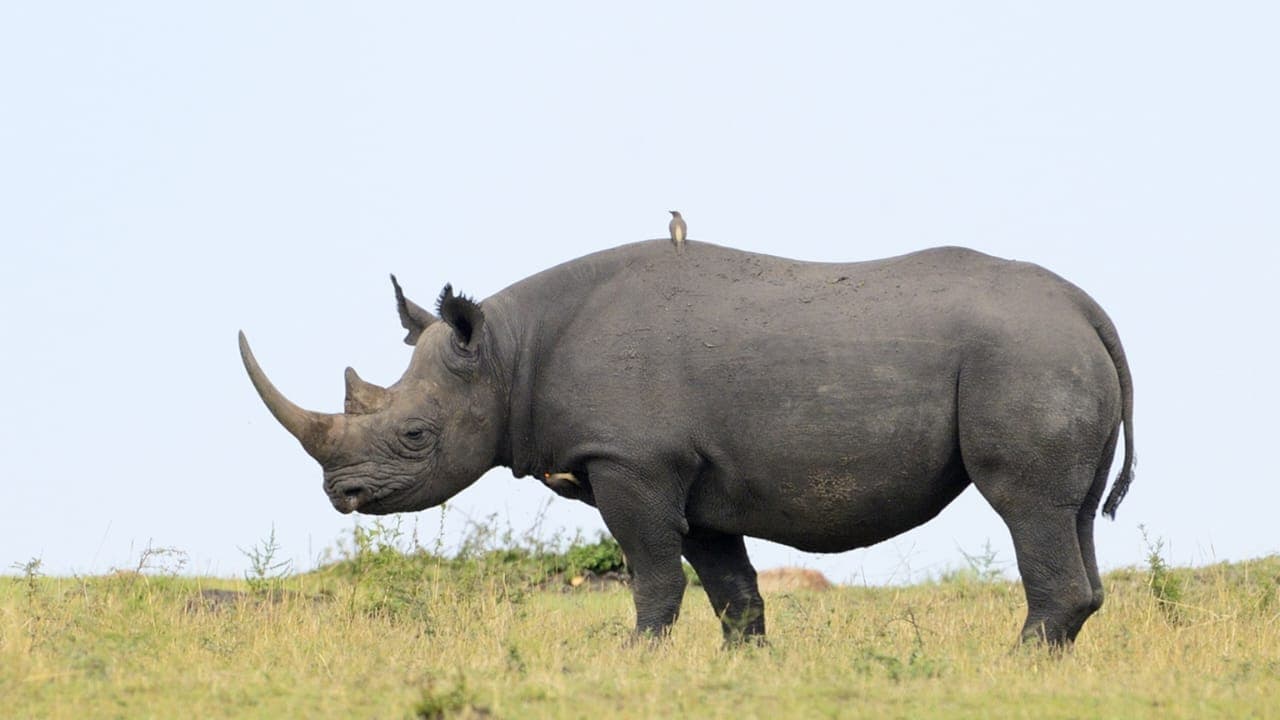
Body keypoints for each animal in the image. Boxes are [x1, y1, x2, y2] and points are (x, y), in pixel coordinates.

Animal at [239, 240, 1134, 647]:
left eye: (416, 435)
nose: (342, 495)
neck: (508, 354)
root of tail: (1089, 309)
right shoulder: (699, 481)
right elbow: (731, 590)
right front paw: (748, 669)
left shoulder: (631, 461)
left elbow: (652, 574)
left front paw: (633, 659)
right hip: (1050, 353)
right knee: (1072, 512)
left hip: (1024, 357)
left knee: (1025, 505)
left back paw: (1012, 666)